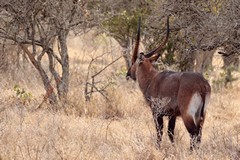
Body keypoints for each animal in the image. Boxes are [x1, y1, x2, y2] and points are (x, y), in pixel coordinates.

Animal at [126, 17, 211, 150]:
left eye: (133, 61)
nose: (128, 74)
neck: (151, 78)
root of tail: (202, 83)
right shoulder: (172, 115)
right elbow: (171, 132)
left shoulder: (156, 112)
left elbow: (159, 132)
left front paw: (158, 148)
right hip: (201, 116)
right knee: (199, 135)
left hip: (188, 115)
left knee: (194, 134)